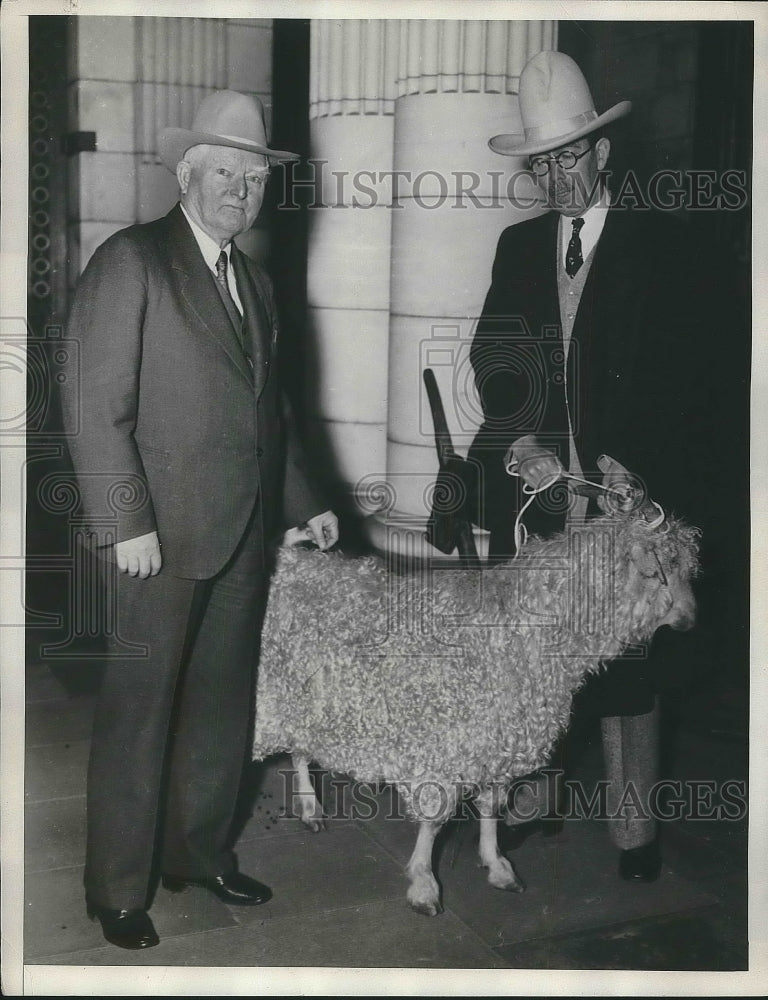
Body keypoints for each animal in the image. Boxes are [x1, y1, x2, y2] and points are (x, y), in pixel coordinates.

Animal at [255, 516, 700, 916]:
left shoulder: (498, 740)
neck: (522, 630)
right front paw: (424, 883)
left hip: (306, 700)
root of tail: (288, 558)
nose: (690, 620)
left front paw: (496, 863)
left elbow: (490, 805)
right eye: (656, 573)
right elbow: (434, 819)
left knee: (299, 748)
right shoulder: (448, 744)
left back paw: (310, 807)